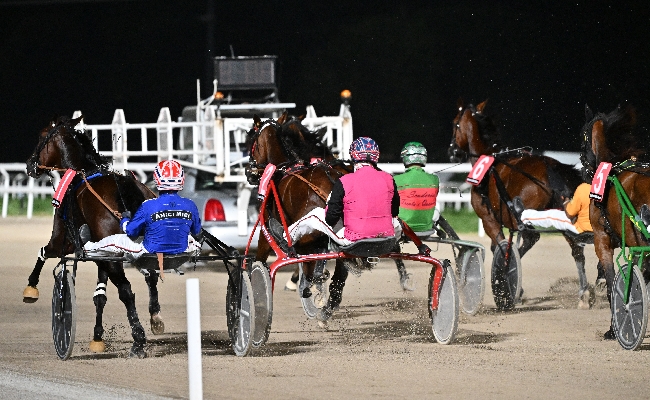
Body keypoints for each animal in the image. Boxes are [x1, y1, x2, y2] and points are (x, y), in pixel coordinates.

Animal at [23, 115, 156, 356]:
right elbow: (100, 295)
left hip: (114, 256)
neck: (79, 175)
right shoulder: (100, 254)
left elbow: (44, 252)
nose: (30, 164)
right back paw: (155, 318)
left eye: (41, 137)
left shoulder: (62, 240)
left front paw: (31, 288)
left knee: (126, 290)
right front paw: (97, 337)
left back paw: (139, 339)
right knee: (150, 277)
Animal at [244, 112, 356, 322]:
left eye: (252, 141)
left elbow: (260, 259)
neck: (281, 170)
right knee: (338, 272)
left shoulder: (266, 232)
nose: (250, 172)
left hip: (309, 234)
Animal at [450, 99, 592, 310]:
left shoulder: (488, 219)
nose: (453, 152)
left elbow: (502, 248)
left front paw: (506, 284)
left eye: (455, 125)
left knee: (535, 239)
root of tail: (551, 167)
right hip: (562, 213)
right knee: (577, 251)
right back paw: (584, 293)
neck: (490, 164)